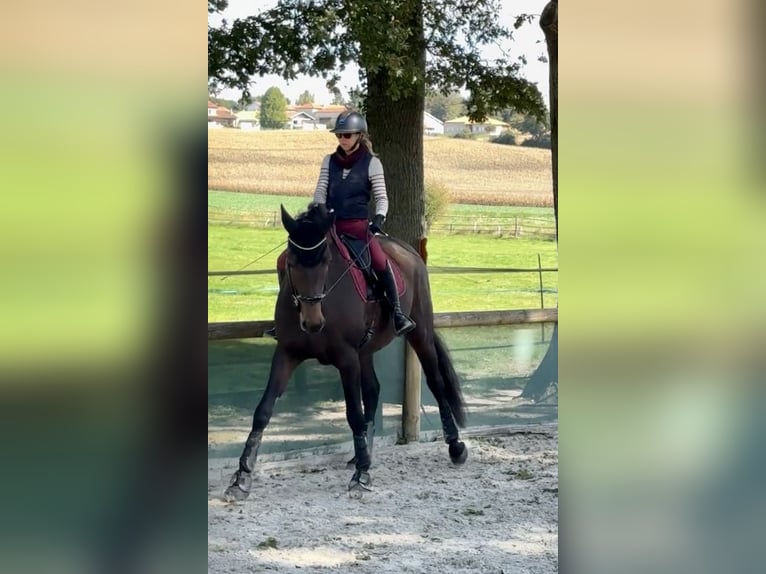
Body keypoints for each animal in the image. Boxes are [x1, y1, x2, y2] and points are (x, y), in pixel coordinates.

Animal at [225, 203, 467, 499]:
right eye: (291, 263)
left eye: (326, 262)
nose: (312, 323)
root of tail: (409, 251)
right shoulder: (287, 353)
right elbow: (263, 410)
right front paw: (242, 477)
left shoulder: (347, 359)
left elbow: (354, 415)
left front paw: (361, 476)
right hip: (366, 351)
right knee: (373, 389)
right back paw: (366, 454)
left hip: (419, 332)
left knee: (435, 381)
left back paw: (455, 446)